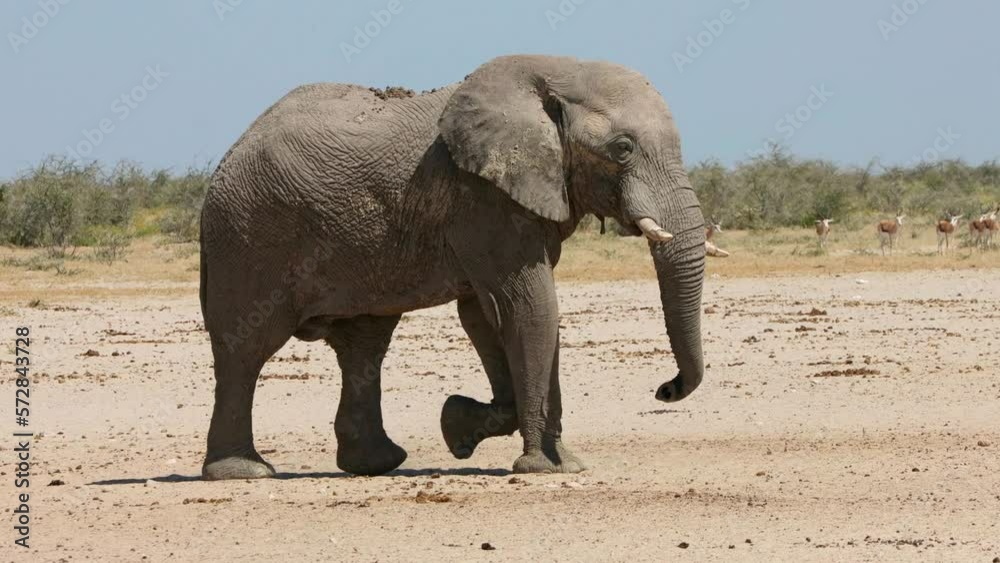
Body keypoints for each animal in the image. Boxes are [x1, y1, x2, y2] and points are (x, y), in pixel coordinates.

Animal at [198, 55, 708, 480]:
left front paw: (459, 428)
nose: (665, 389)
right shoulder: (482, 199)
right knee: (246, 349)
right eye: (623, 149)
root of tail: (234, 146)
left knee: (364, 345)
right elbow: (529, 308)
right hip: (246, 235)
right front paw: (548, 467)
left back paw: (376, 464)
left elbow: (485, 314)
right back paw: (244, 472)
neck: (554, 71)